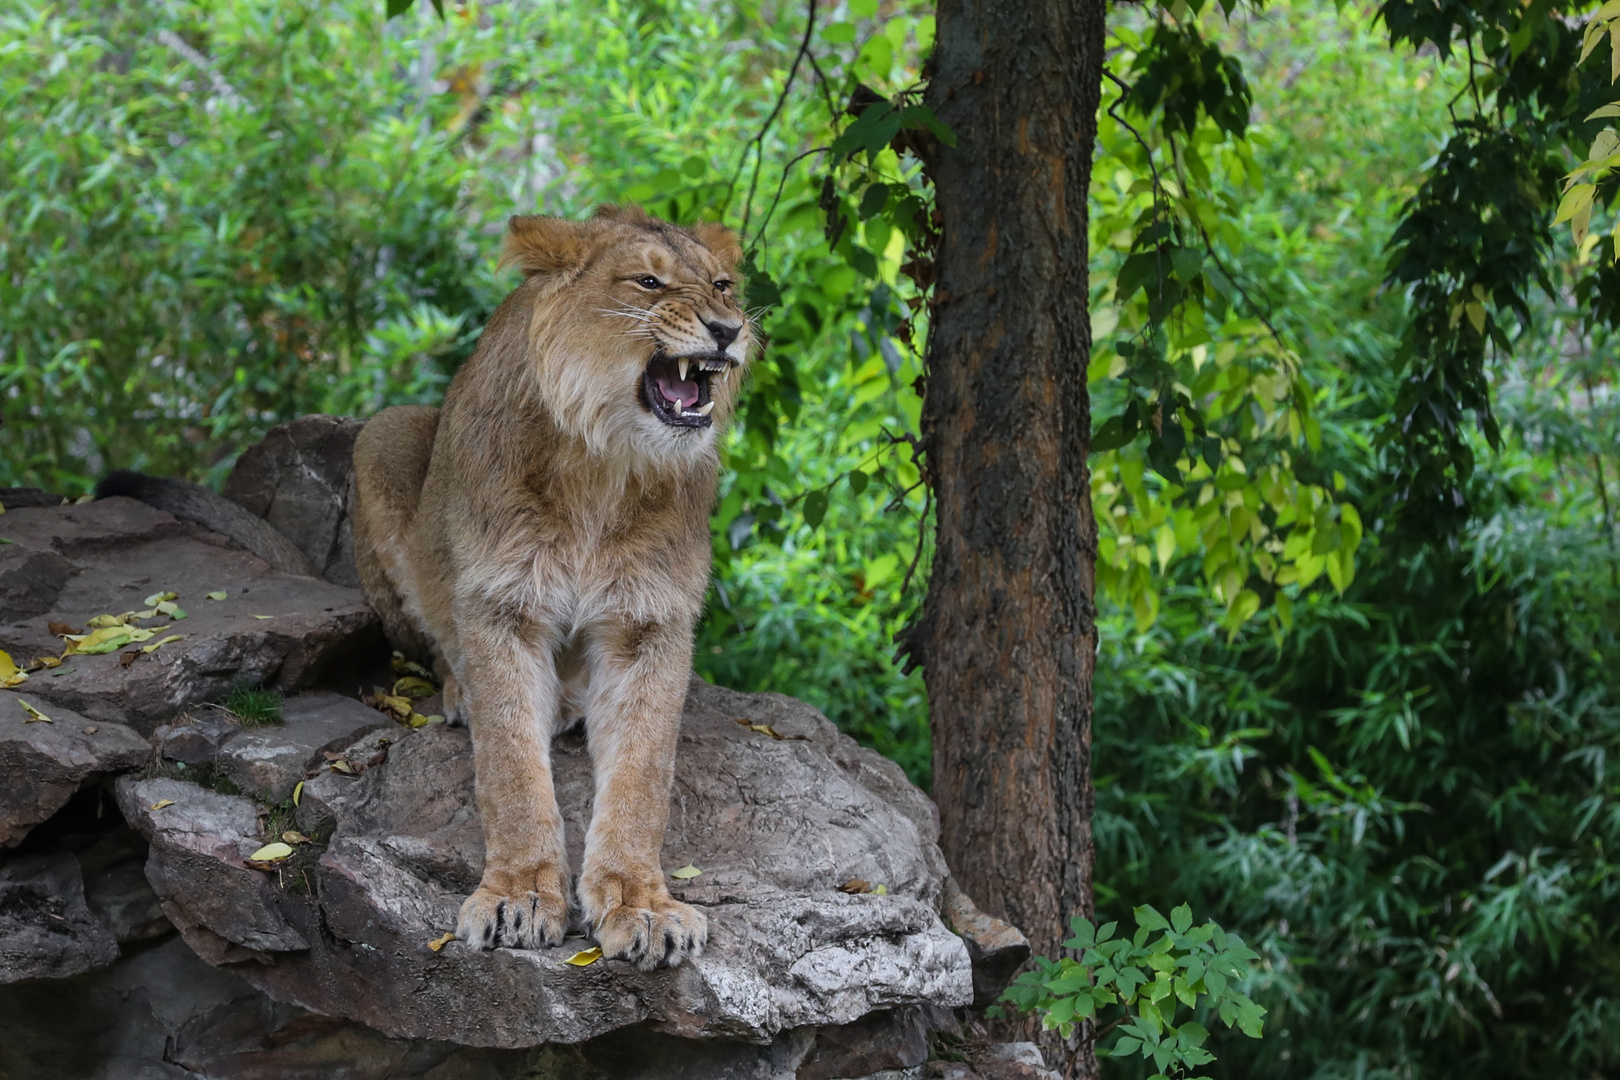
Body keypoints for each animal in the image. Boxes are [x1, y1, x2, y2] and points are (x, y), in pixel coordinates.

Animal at [351, 207, 748, 965]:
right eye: (648, 282)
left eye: (722, 285)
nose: (730, 329)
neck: (605, 463)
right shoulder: (500, 604)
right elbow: (509, 767)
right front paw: (519, 896)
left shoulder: (651, 621)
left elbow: (643, 777)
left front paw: (641, 905)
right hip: (384, 433)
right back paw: (464, 692)